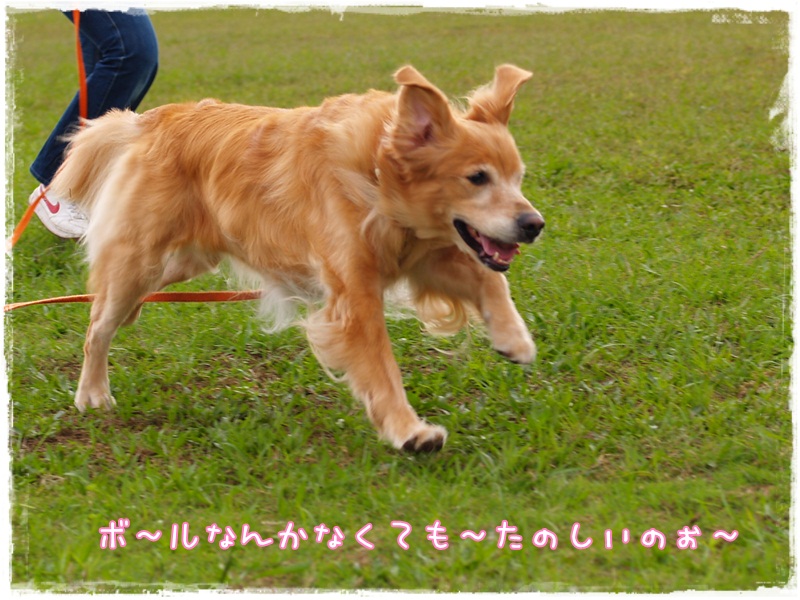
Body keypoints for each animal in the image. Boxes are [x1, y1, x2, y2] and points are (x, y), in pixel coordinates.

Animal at [49, 65, 544, 453]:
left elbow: (491, 279)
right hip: (141, 258)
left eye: (518, 177)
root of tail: (150, 120)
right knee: (98, 324)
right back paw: (92, 394)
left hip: (185, 260)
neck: (378, 178)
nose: (534, 224)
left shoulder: (424, 258)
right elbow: (382, 367)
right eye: (477, 178)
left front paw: (513, 338)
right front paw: (409, 431)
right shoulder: (354, 293)